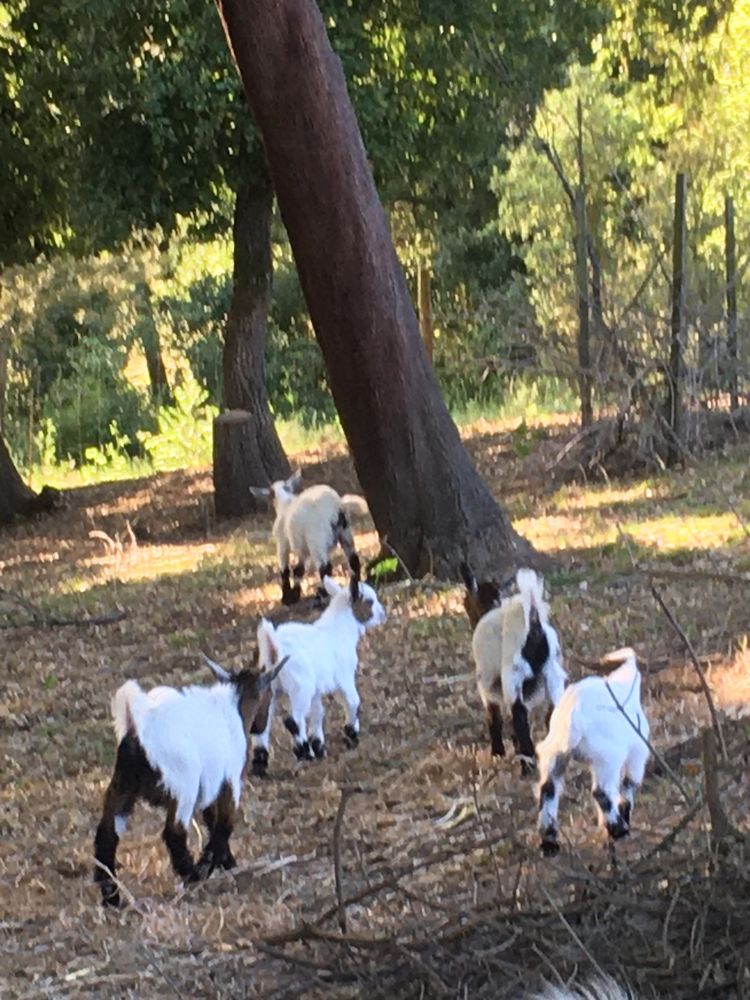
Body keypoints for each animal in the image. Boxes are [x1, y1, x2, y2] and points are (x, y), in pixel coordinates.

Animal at [91, 656, 284, 908]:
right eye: (269, 695)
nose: (260, 726)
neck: (233, 708)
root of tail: (138, 726)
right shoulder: (230, 781)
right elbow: (224, 825)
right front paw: (211, 865)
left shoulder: (211, 787)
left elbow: (212, 822)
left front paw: (227, 863)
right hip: (184, 787)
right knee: (174, 833)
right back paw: (192, 874)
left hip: (122, 787)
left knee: (107, 835)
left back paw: (111, 896)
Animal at [251, 572, 388, 772]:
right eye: (370, 601)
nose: (383, 614)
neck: (338, 630)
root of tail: (274, 649)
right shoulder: (343, 678)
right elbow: (354, 701)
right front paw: (351, 733)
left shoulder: (316, 691)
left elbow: (317, 714)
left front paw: (319, 746)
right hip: (300, 686)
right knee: (293, 720)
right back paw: (304, 753)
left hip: (269, 688)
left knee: (261, 723)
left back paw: (260, 765)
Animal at [253, 468, 370, 600]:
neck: (285, 505)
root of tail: (336, 506)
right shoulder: (303, 549)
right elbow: (299, 570)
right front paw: (295, 594)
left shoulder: (282, 542)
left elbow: (285, 569)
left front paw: (287, 597)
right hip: (345, 532)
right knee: (353, 560)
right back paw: (356, 591)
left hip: (316, 539)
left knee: (325, 567)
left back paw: (322, 594)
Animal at [468, 568, 568, 768]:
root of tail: (533, 624)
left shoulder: (486, 686)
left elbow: (494, 718)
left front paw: (497, 752)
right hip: (552, 673)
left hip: (513, 675)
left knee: (519, 715)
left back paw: (526, 763)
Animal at [536, 648, 652, 852]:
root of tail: (574, 715)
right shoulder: (637, 754)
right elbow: (628, 786)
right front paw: (621, 819)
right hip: (607, 758)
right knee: (601, 791)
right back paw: (619, 829)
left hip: (556, 752)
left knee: (548, 786)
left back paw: (549, 840)